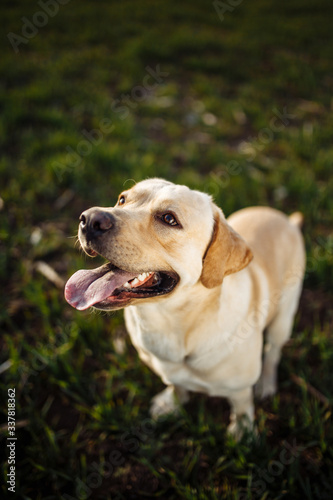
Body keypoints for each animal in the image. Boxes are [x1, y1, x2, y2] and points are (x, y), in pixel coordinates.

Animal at [64, 179, 304, 438]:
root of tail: (286, 220)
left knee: (273, 352)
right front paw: (172, 403)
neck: (171, 325)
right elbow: (176, 385)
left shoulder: (239, 388)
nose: (89, 219)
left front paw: (242, 429)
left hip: (283, 319)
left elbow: (241, 405)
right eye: (122, 199)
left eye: (169, 219)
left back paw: (266, 383)